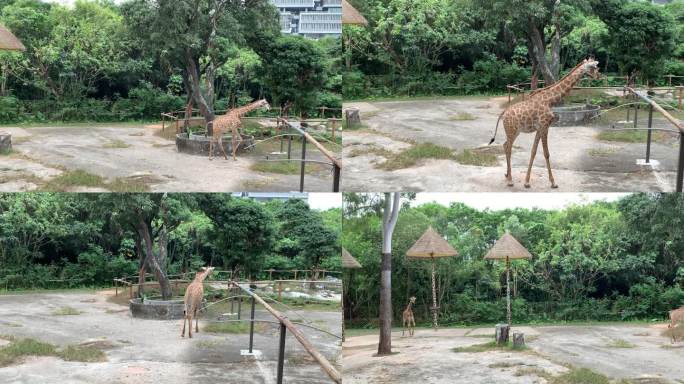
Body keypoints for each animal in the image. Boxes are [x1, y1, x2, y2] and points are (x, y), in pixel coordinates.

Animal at [492, 58, 600, 189]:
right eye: (594, 67)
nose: (599, 76)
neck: (550, 101)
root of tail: (503, 113)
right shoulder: (545, 126)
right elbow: (546, 153)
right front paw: (553, 183)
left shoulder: (540, 128)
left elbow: (533, 152)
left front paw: (527, 182)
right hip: (511, 130)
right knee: (508, 147)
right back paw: (510, 180)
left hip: (515, 131)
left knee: (505, 145)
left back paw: (507, 175)